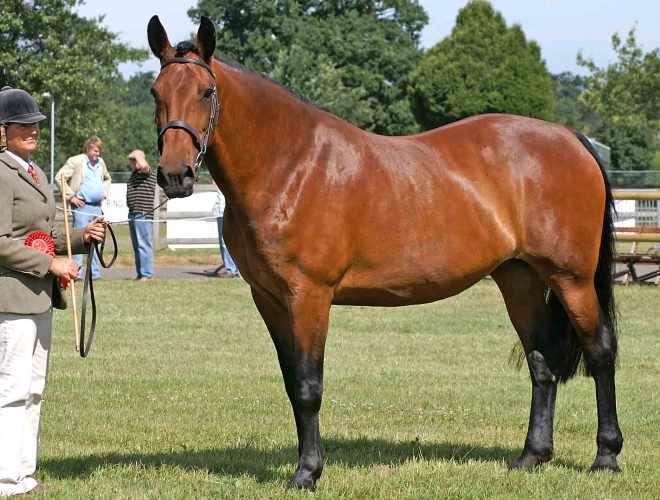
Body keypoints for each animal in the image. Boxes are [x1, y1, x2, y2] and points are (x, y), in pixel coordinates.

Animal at [147, 16, 623, 490]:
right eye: (156, 92)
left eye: (206, 92)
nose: (175, 176)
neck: (289, 166)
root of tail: (570, 138)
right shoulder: (269, 298)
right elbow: (291, 382)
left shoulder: (309, 297)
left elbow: (308, 386)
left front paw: (307, 472)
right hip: (519, 278)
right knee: (541, 362)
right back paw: (531, 457)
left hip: (571, 279)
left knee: (600, 351)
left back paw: (606, 456)